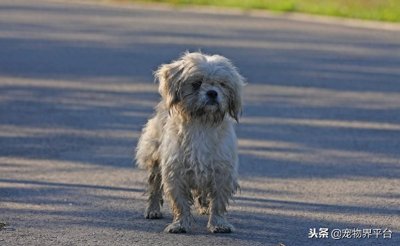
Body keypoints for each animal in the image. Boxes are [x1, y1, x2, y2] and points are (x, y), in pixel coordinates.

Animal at [136, 51, 245, 233]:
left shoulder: (222, 171)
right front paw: (180, 224)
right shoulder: (175, 171)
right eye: (196, 83)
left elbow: (218, 202)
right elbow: (180, 202)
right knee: (155, 186)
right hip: (155, 158)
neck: (201, 123)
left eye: (222, 84)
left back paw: (204, 207)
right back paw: (153, 209)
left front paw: (218, 223)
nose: (212, 93)